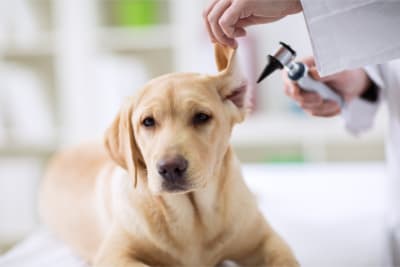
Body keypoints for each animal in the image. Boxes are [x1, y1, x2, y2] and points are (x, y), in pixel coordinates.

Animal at [39, 44, 298, 267]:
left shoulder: (267, 240)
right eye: (148, 122)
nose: (170, 168)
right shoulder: (114, 255)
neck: (194, 217)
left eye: (201, 117)